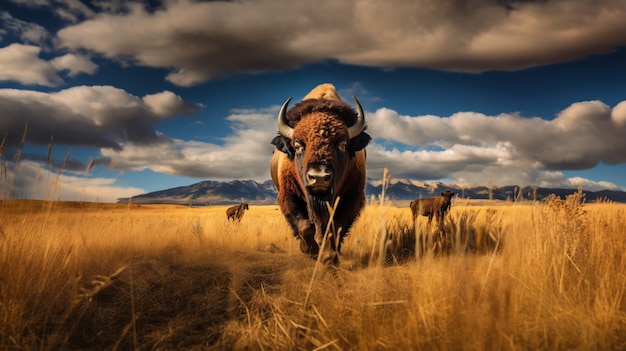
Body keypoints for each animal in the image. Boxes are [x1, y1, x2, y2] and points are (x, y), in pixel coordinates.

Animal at [270, 84, 368, 266]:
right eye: (298, 145)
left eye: (342, 144)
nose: (319, 177)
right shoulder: (289, 196)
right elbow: (305, 226)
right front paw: (311, 251)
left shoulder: (350, 199)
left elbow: (335, 228)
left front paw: (329, 257)